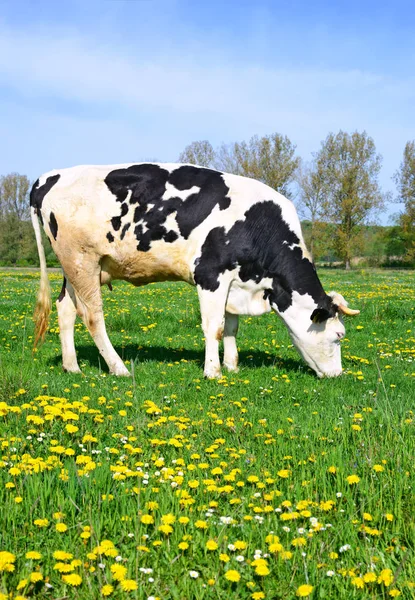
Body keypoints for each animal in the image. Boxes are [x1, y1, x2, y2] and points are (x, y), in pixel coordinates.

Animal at [30, 163, 360, 380]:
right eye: (339, 335)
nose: (338, 375)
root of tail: (49, 176)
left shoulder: (235, 281)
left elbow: (231, 326)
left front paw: (232, 365)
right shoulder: (210, 275)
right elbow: (214, 326)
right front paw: (213, 372)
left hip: (77, 267)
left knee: (66, 309)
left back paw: (72, 366)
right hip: (82, 261)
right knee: (93, 316)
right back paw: (119, 368)